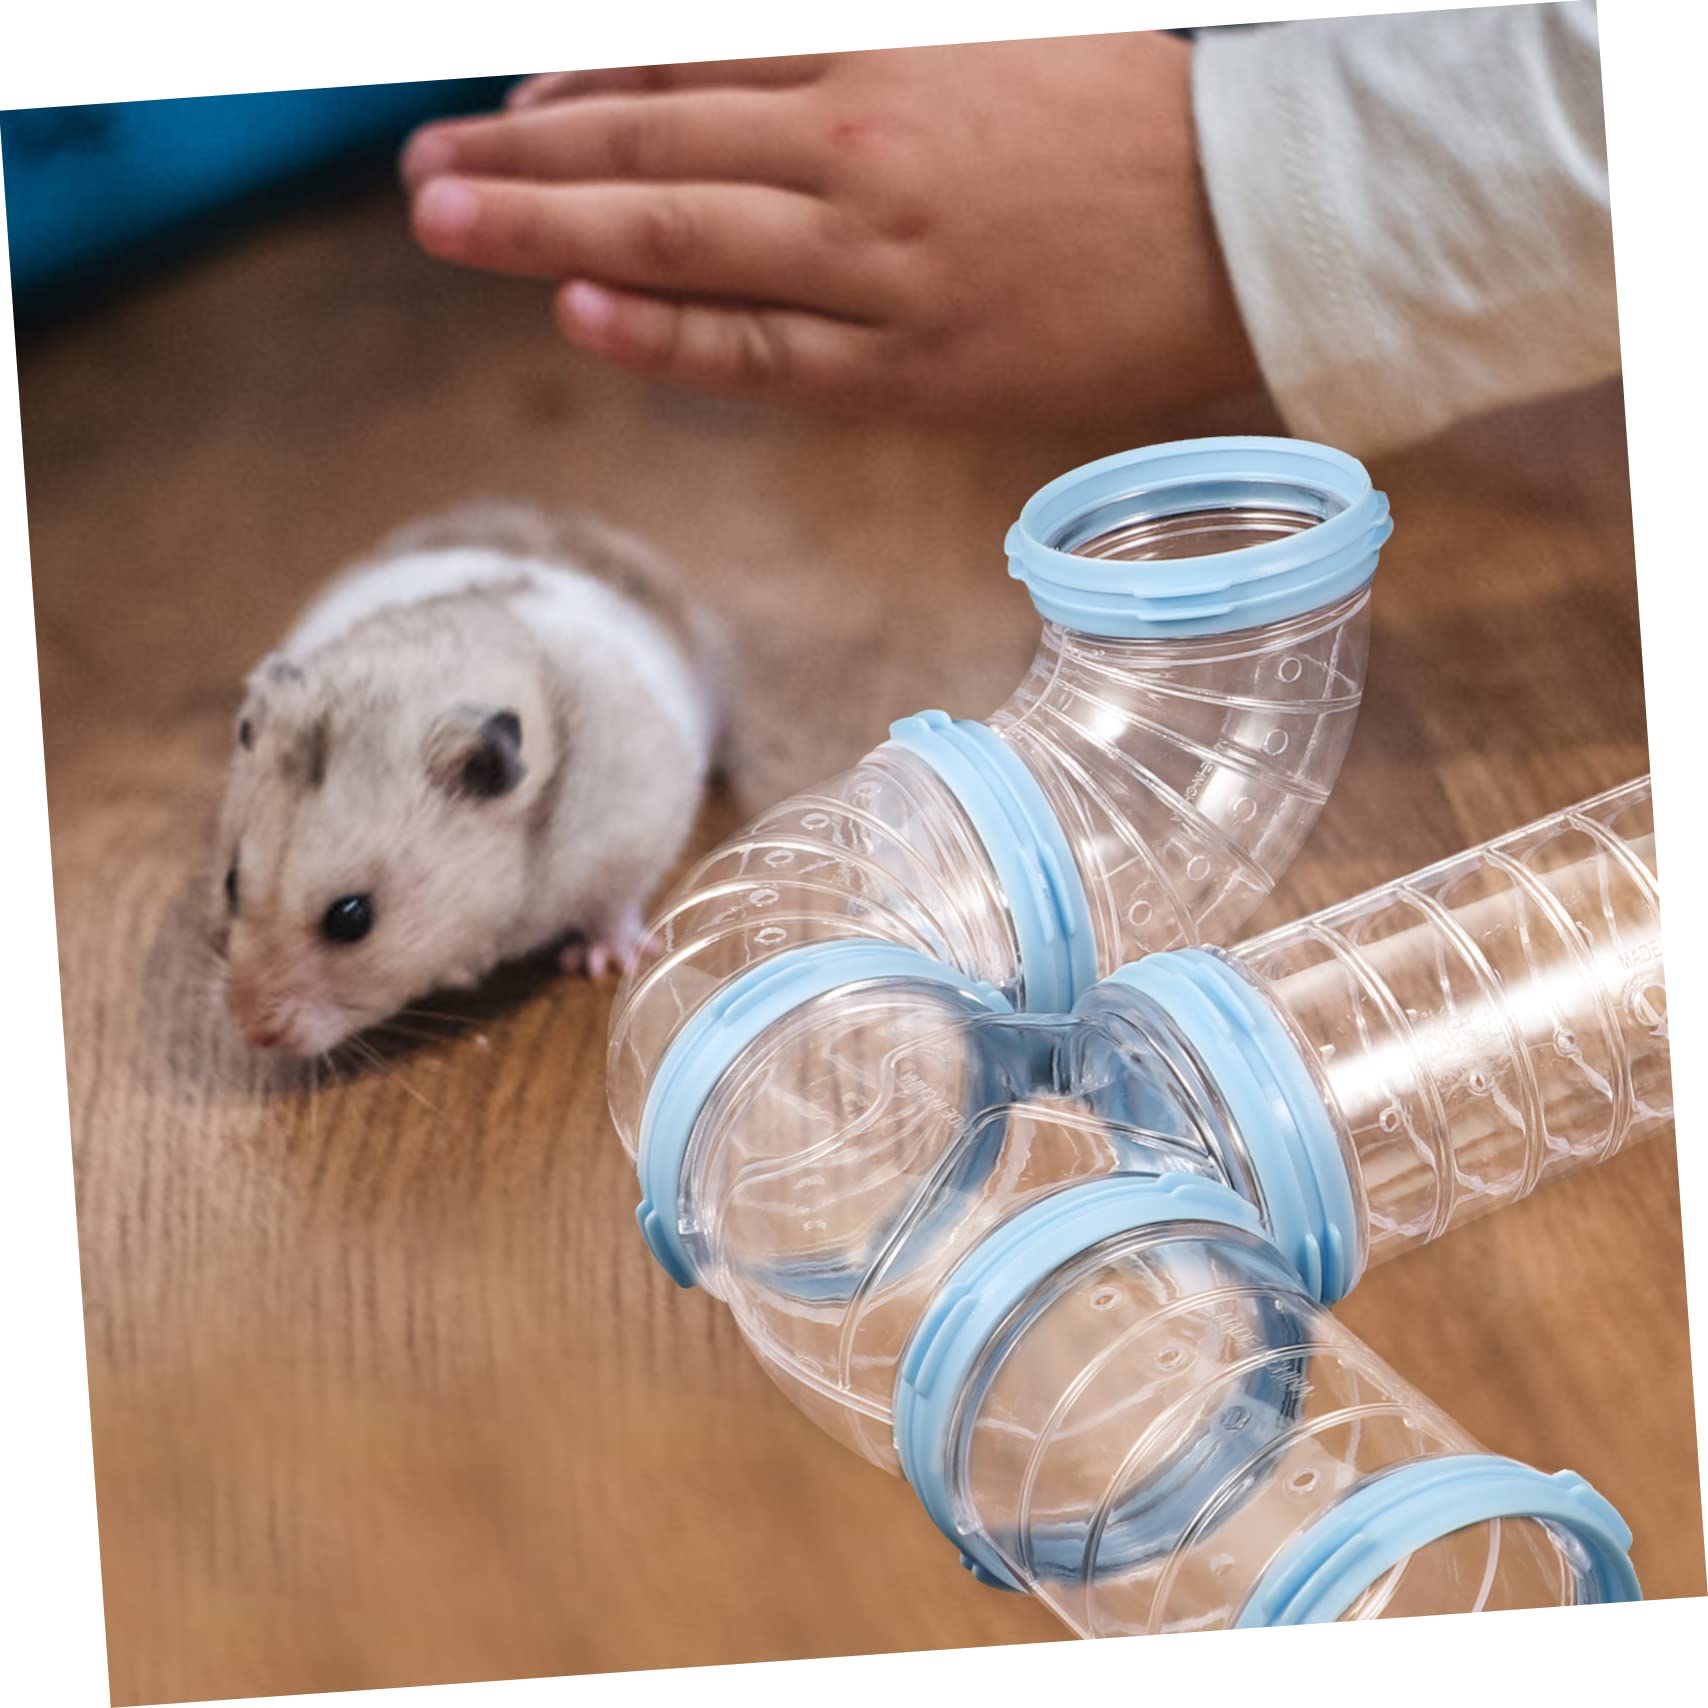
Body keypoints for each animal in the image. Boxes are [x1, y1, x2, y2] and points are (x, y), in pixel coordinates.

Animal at [211, 500, 725, 1056]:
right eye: (231, 882)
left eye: (351, 918)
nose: (252, 1031)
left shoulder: (637, 832)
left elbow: (615, 905)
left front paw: (601, 963)